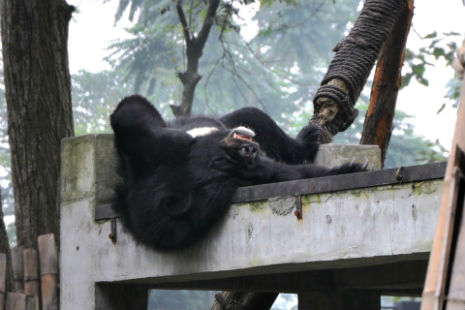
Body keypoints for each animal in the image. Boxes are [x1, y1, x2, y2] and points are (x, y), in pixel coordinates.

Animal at [110, 94, 364, 249]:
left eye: (221, 157)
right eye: (226, 166)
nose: (248, 151)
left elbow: (131, 112)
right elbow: (291, 174)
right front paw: (353, 168)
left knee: (253, 115)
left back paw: (308, 138)